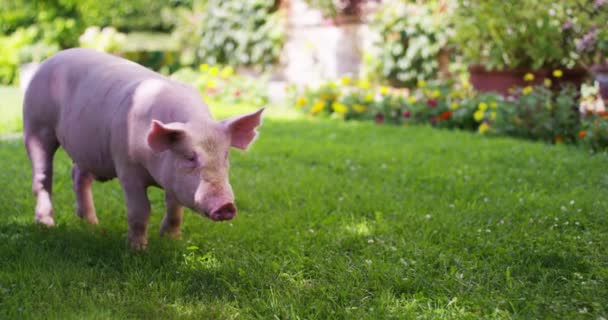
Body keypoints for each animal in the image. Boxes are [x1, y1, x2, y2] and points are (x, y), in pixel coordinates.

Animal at [22, 47, 264, 249]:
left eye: (225, 156)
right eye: (189, 157)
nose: (226, 206)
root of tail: (50, 58)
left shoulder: (172, 179)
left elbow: (175, 207)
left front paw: (172, 240)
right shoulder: (126, 165)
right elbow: (141, 209)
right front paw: (137, 250)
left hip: (86, 148)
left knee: (78, 175)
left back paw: (92, 224)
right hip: (36, 125)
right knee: (43, 176)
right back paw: (46, 224)